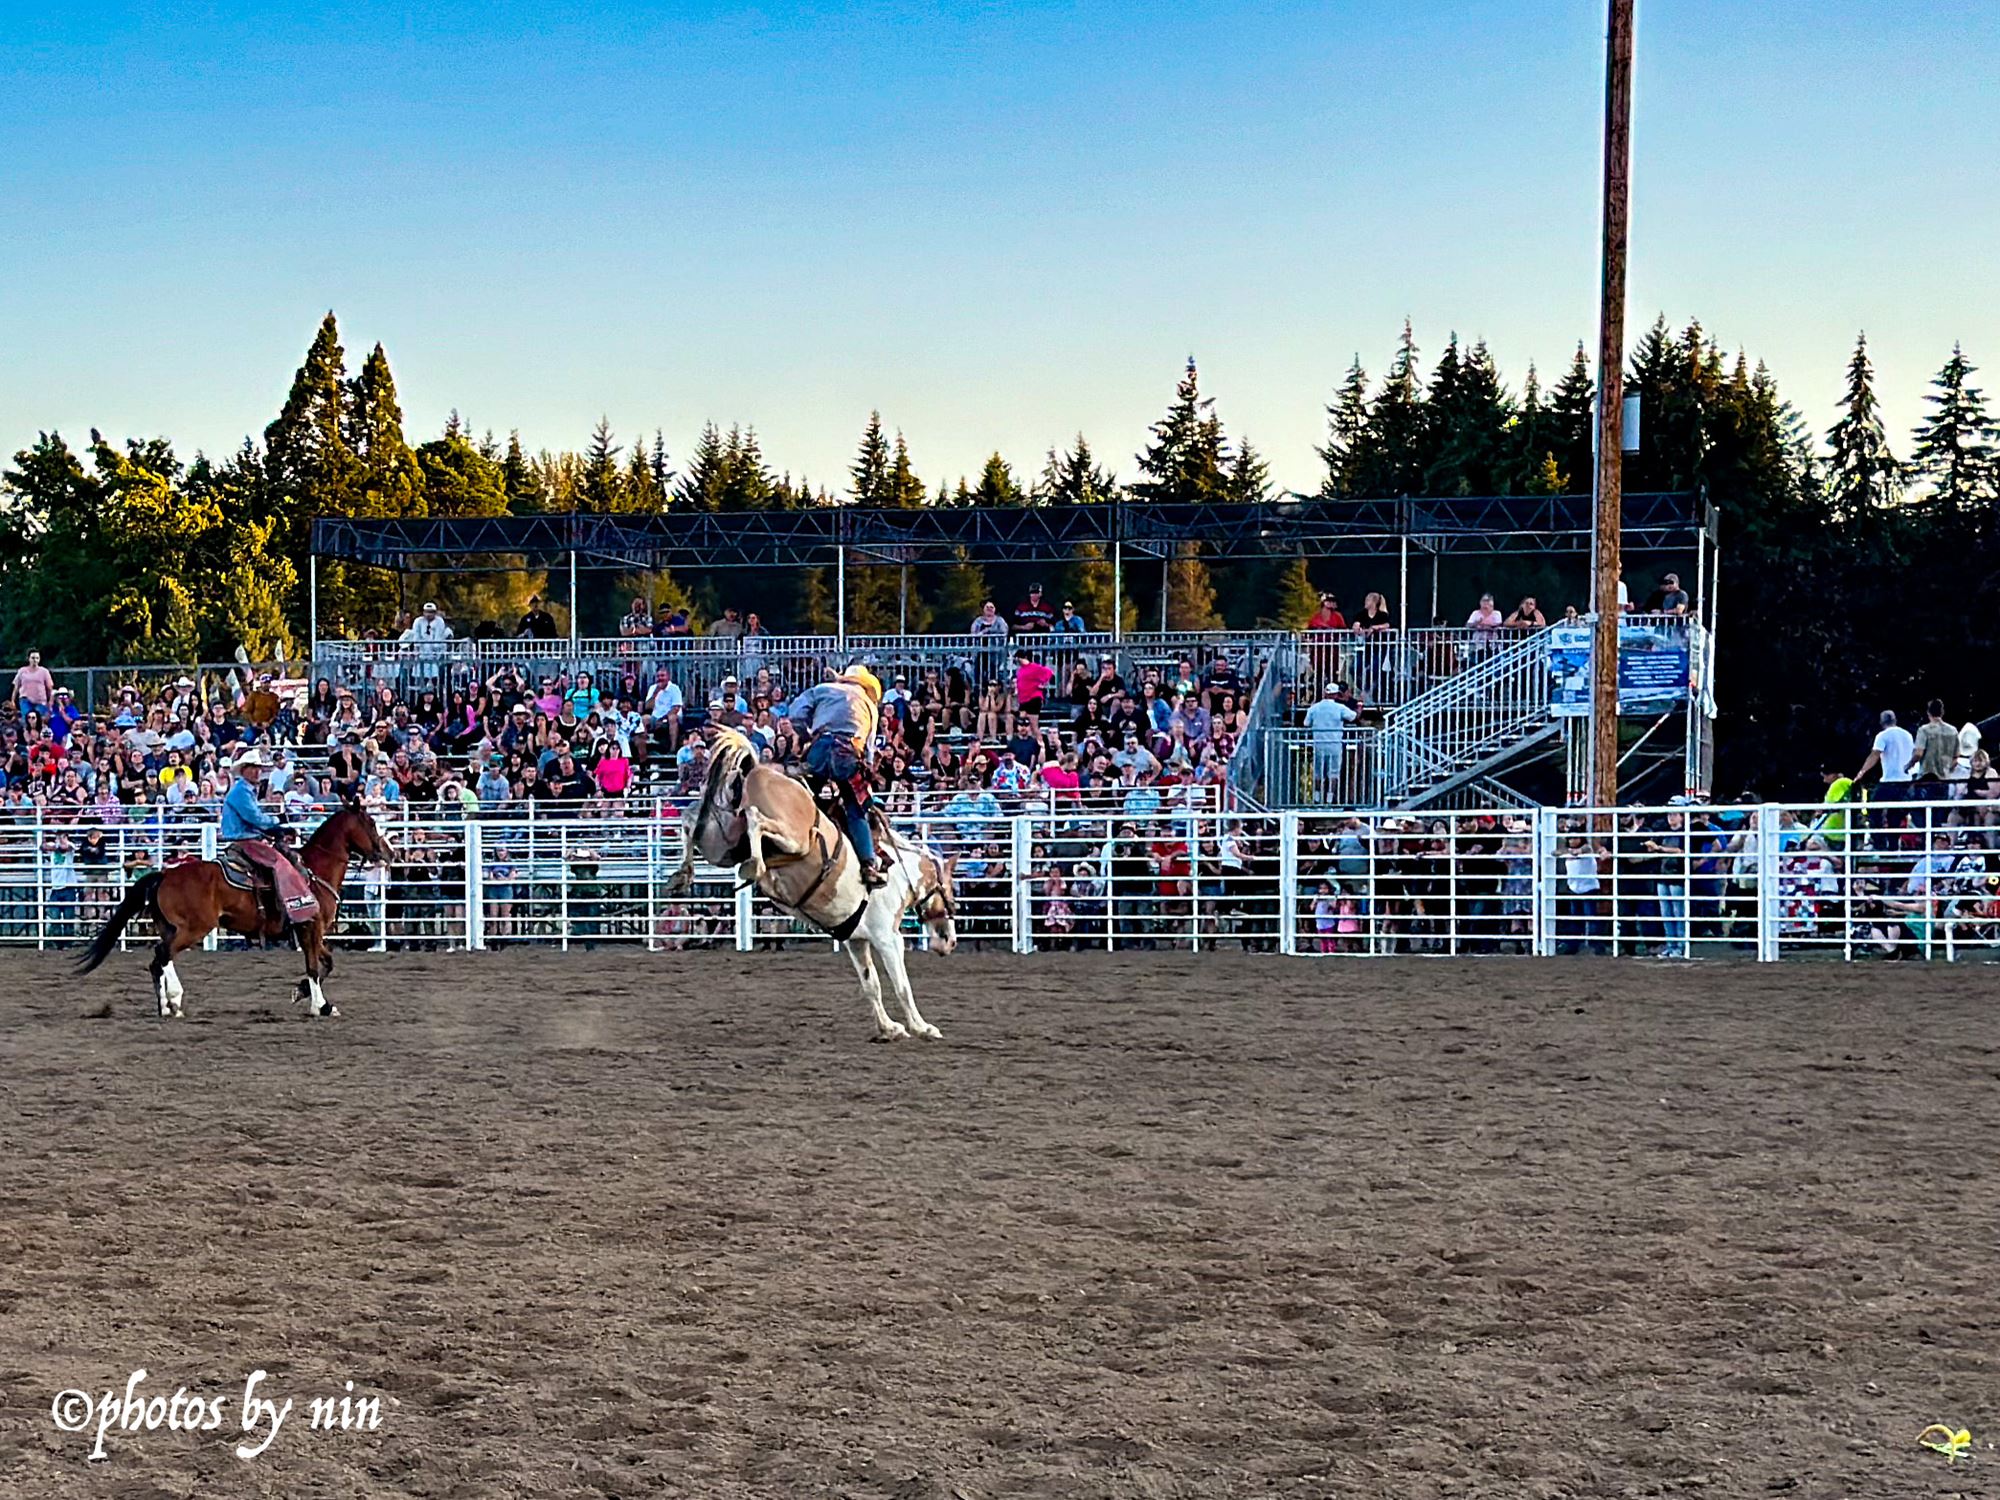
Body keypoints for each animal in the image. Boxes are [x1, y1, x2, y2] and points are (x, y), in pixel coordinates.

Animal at [79, 812, 398, 1024]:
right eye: (371, 823)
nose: (390, 853)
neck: (314, 871)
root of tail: (165, 874)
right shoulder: (311, 926)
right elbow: (313, 967)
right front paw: (321, 1006)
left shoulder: (311, 931)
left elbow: (326, 963)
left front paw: (303, 993)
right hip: (193, 929)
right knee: (163, 954)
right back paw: (176, 1000)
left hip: (170, 928)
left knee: (157, 961)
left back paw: (166, 1006)